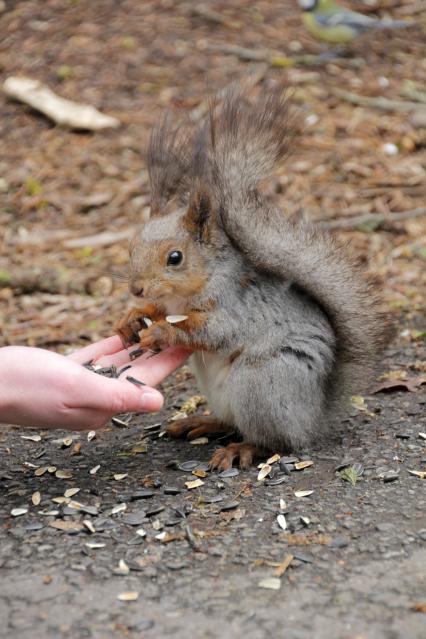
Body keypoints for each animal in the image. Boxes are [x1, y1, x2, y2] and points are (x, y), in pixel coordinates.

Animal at [115, 86, 388, 470]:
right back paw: (202, 422)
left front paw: (161, 332)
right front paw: (131, 318)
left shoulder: (233, 307)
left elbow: (213, 331)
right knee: (232, 423)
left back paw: (240, 449)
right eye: (132, 247)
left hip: (261, 382)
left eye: (175, 257)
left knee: (274, 441)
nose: (136, 288)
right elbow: (157, 312)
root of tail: (314, 417)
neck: (189, 290)